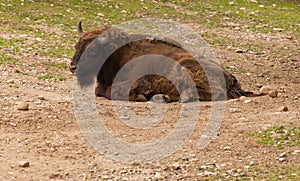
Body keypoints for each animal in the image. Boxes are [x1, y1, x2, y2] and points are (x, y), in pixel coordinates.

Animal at [69, 21, 253, 102]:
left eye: (92, 50)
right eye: (76, 46)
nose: (73, 67)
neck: (118, 54)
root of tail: (230, 77)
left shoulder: (137, 82)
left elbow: (110, 91)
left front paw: (144, 96)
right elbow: (99, 90)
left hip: (185, 69)